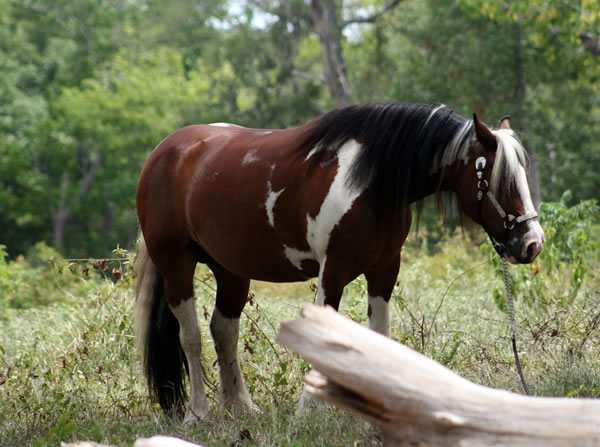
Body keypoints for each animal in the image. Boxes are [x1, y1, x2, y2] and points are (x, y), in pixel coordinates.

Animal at [135, 103, 544, 426]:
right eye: (502, 179)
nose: (532, 244)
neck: (370, 183)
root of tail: (165, 150)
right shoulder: (333, 271)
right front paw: (308, 410)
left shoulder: (384, 270)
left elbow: (380, 335)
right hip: (175, 263)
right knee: (190, 336)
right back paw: (197, 414)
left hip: (231, 269)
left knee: (223, 331)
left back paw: (240, 407)